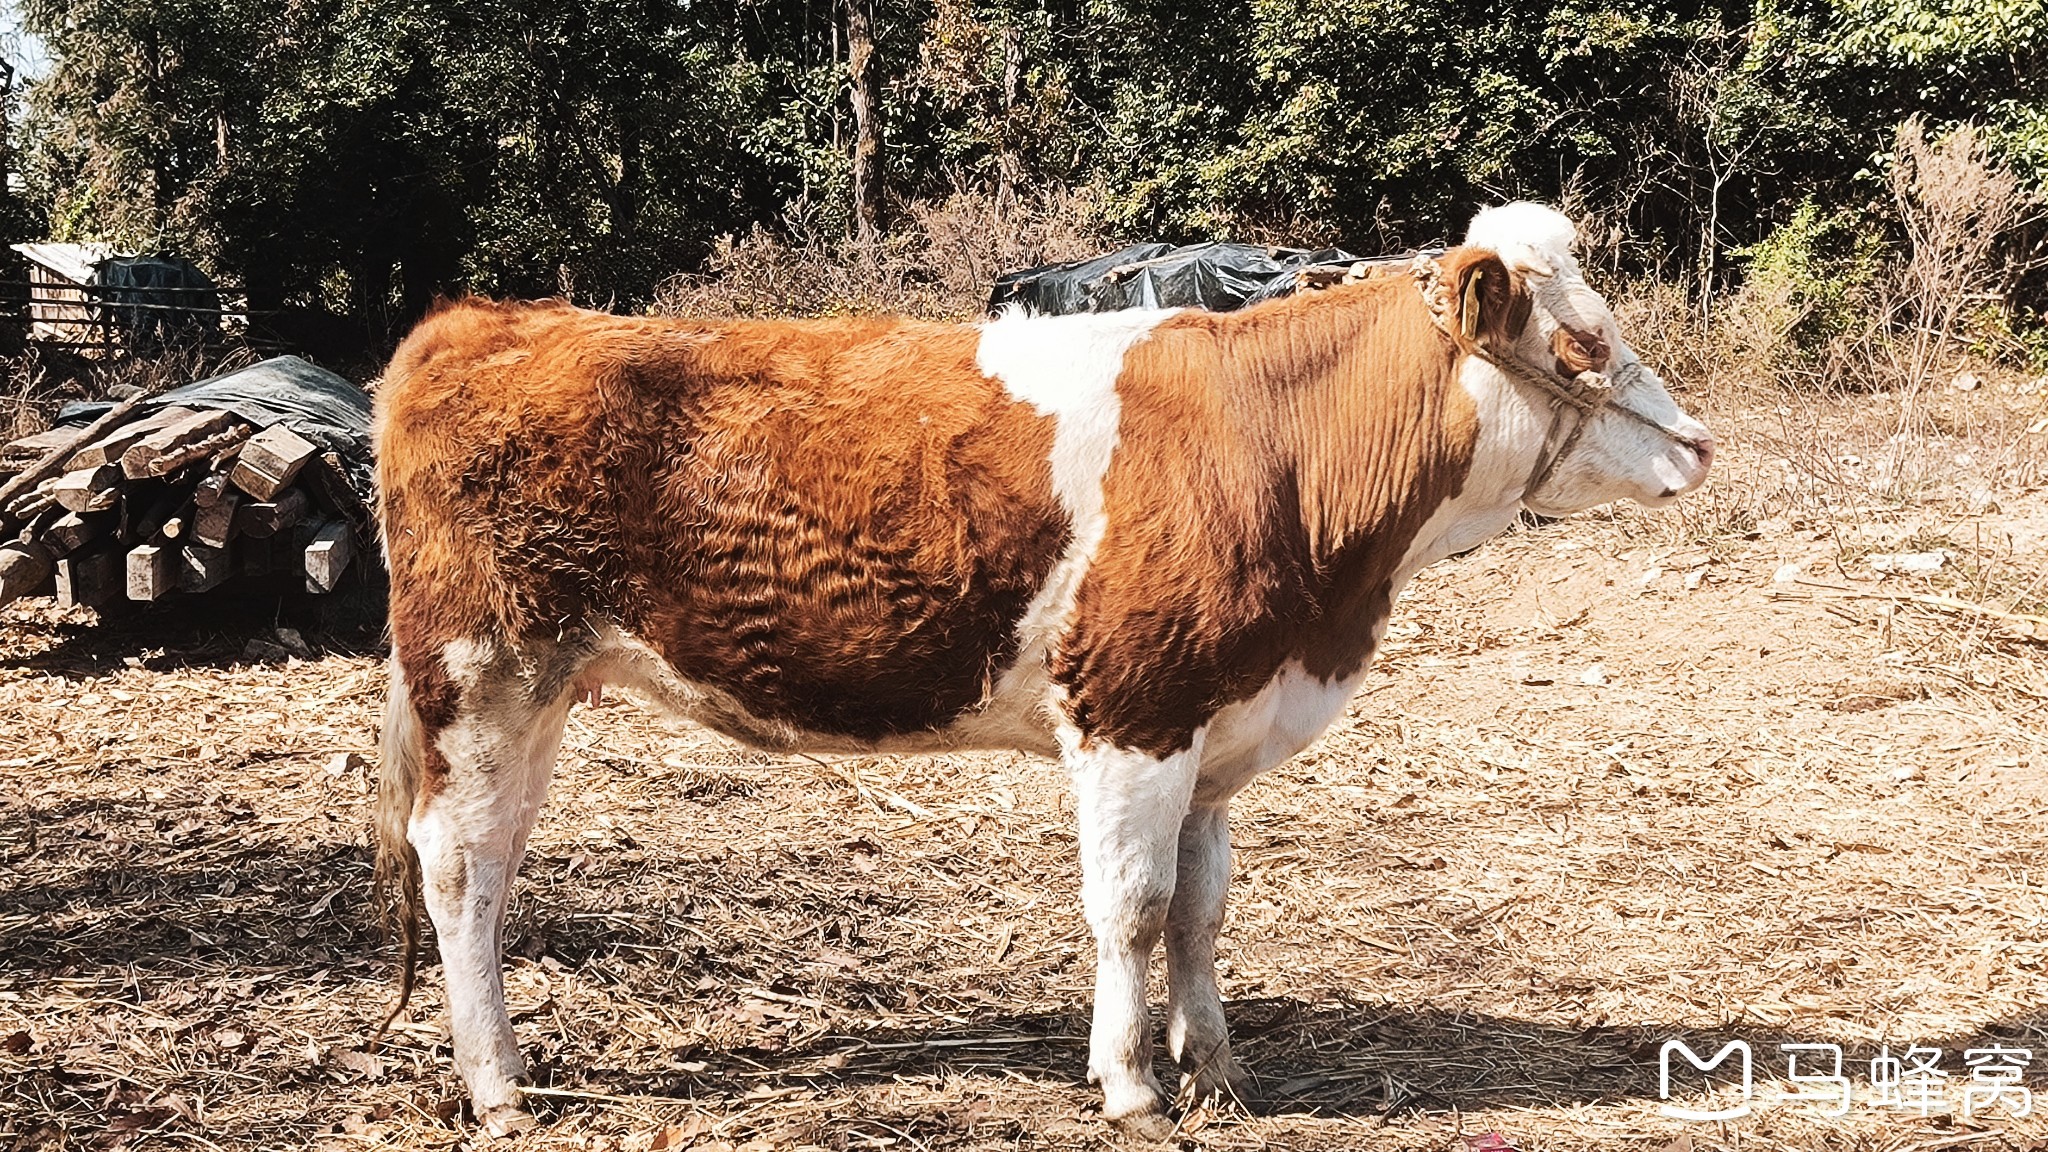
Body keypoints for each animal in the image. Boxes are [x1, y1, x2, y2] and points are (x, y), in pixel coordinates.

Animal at [372, 203, 1712, 1131]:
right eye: (1585, 343)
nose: (1697, 445)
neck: (1276, 452)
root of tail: (482, 321)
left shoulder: (1212, 728)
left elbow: (1200, 909)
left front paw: (1218, 1067)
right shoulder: (1131, 713)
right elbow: (1131, 907)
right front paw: (1129, 1084)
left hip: (541, 690)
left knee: (493, 864)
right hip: (480, 673)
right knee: (459, 868)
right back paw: (496, 1086)